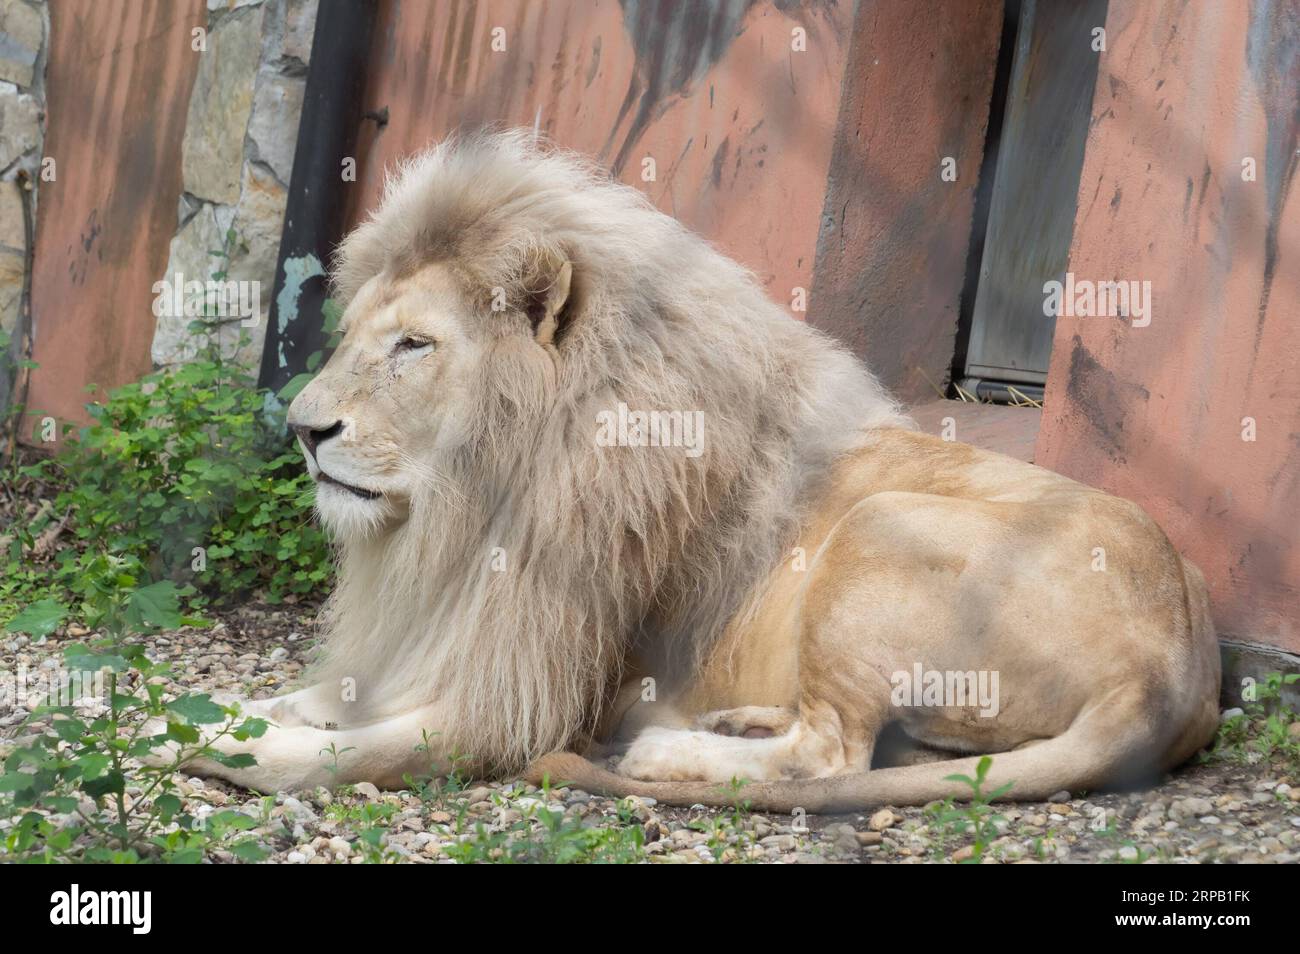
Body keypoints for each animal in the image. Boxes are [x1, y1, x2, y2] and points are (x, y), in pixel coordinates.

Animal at [188, 128, 1222, 816]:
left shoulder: (515, 702)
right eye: (356, 336)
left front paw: (198, 738)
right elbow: (306, 701)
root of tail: (1174, 672)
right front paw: (225, 703)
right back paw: (734, 725)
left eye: (414, 345)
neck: (468, 508)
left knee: (830, 755)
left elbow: (317, 755)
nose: (303, 430)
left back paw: (659, 753)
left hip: (881, 523)